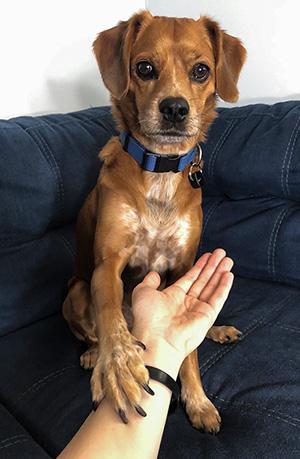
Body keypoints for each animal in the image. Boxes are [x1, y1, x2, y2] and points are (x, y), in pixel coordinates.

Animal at [62, 10, 246, 434]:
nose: (175, 108)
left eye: (201, 70)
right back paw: (93, 353)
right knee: (94, 327)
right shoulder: (108, 264)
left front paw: (198, 401)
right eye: (144, 68)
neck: (160, 166)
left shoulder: (183, 265)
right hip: (74, 292)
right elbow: (109, 315)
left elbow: (189, 351)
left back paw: (218, 329)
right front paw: (118, 369)